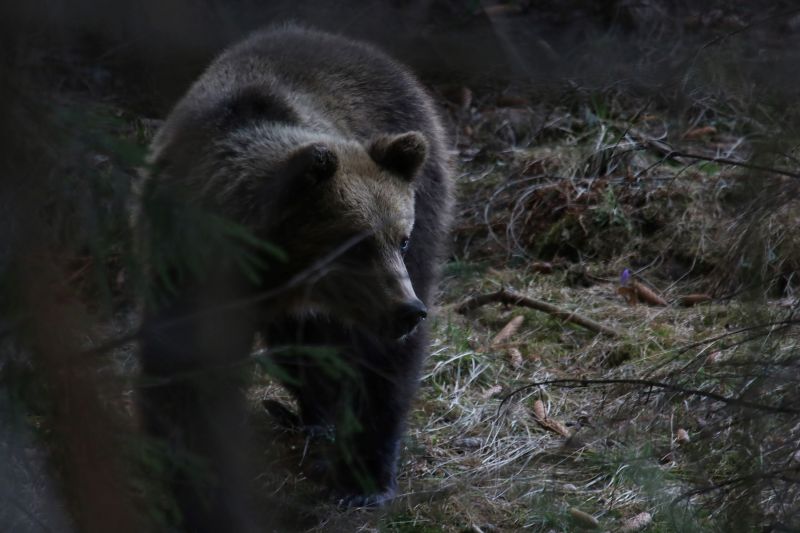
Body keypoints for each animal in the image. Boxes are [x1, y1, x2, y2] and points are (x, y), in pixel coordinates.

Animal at [134, 23, 454, 528]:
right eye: (355, 244)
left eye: (399, 239)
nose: (408, 311)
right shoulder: (182, 268)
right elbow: (182, 380)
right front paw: (197, 496)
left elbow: (376, 363)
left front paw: (360, 478)